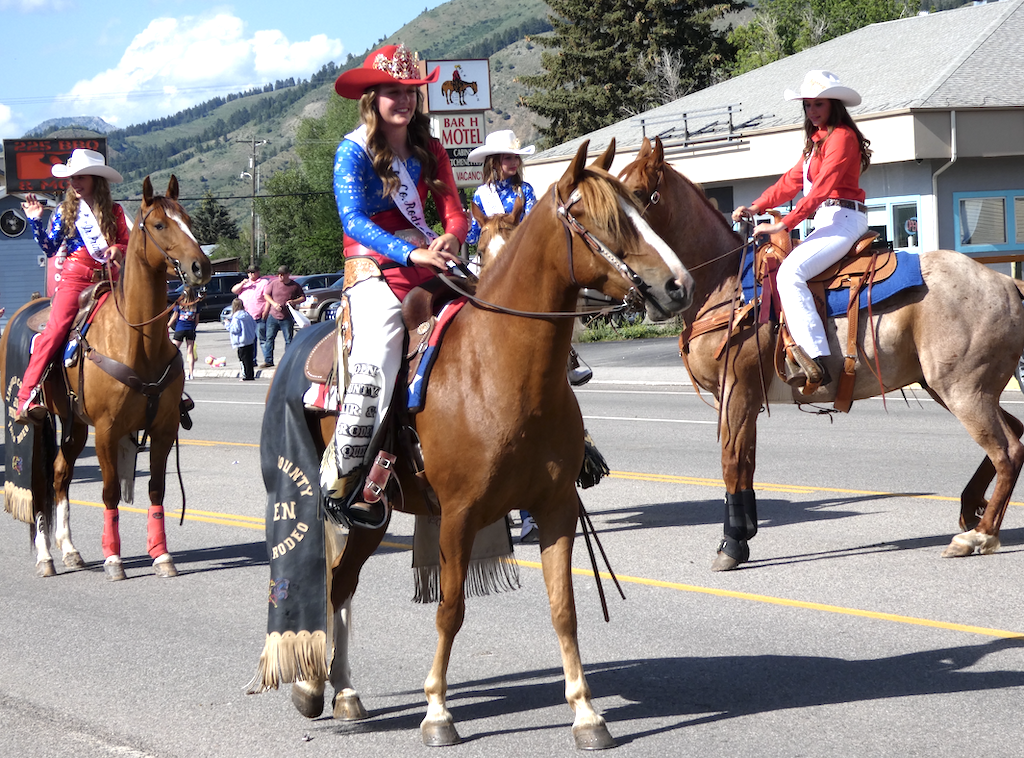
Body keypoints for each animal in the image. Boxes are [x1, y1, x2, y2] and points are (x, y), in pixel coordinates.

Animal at [0, 175, 211, 580]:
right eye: (159, 225)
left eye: (190, 219)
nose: (200, 267)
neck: (137, 339)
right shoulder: (108, 430)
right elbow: (110, 491)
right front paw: (114, 559)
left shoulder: (163, 428)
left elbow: (157, 490)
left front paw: (162, 555)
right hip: (36, 423)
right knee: (36, 482)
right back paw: (45, 558)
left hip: (74, 424)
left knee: (59, 474)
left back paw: (69, 550)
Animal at [253, 140, 694, 748]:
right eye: (597, 218)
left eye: (642, 207)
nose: (678, 285)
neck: (503, 369)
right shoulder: (459, 515)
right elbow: (450, 609)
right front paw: (437, 711)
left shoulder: (555, 508)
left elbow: (563, 608)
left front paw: (586, 713)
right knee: (327, 581)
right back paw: (314, 685)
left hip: (376, 517)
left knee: (341, 585)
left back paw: (340, 693)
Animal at [619, 136, 1024, 571]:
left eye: (638, 193)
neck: (726, 284)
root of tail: (1005, 282)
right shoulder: (746, 398)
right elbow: (745, 464)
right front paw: (742, 535)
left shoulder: (737, 391)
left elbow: (732, 463)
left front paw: (731, 544)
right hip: (956, 388)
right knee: (1014, 432)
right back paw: (971, 511)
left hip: (963, 390)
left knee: (1007, 451)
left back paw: (979, 536)